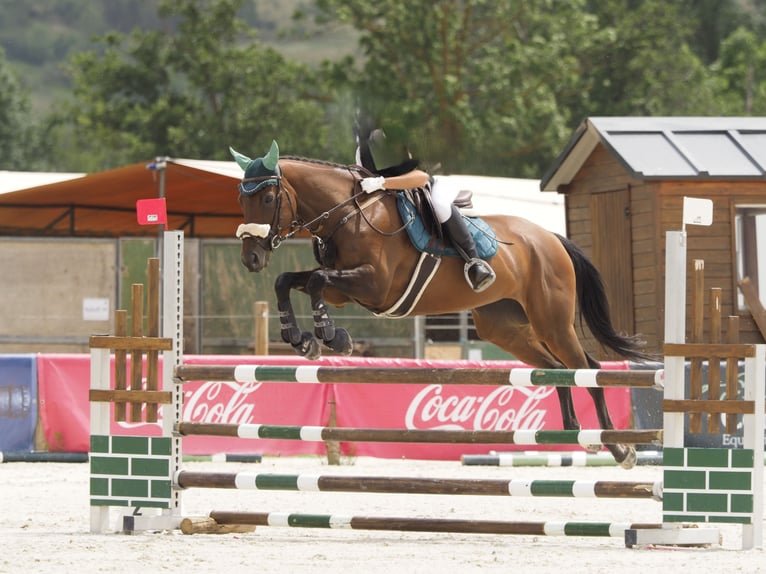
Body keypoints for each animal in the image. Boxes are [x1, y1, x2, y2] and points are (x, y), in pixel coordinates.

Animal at [230, 140, 656, 468]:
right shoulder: (345, 289)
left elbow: (317, 280)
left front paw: (332, 337)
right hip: (505, 328)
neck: (348, 213)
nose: (250, 258)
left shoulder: (374, 285)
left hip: (551, 320)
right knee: (557, 369)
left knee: (589, 369)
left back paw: (619, 448)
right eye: (241, 199)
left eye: (268, 197)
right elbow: (290, 281)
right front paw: (301, 339)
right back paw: (576, 431)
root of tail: (550, 238)